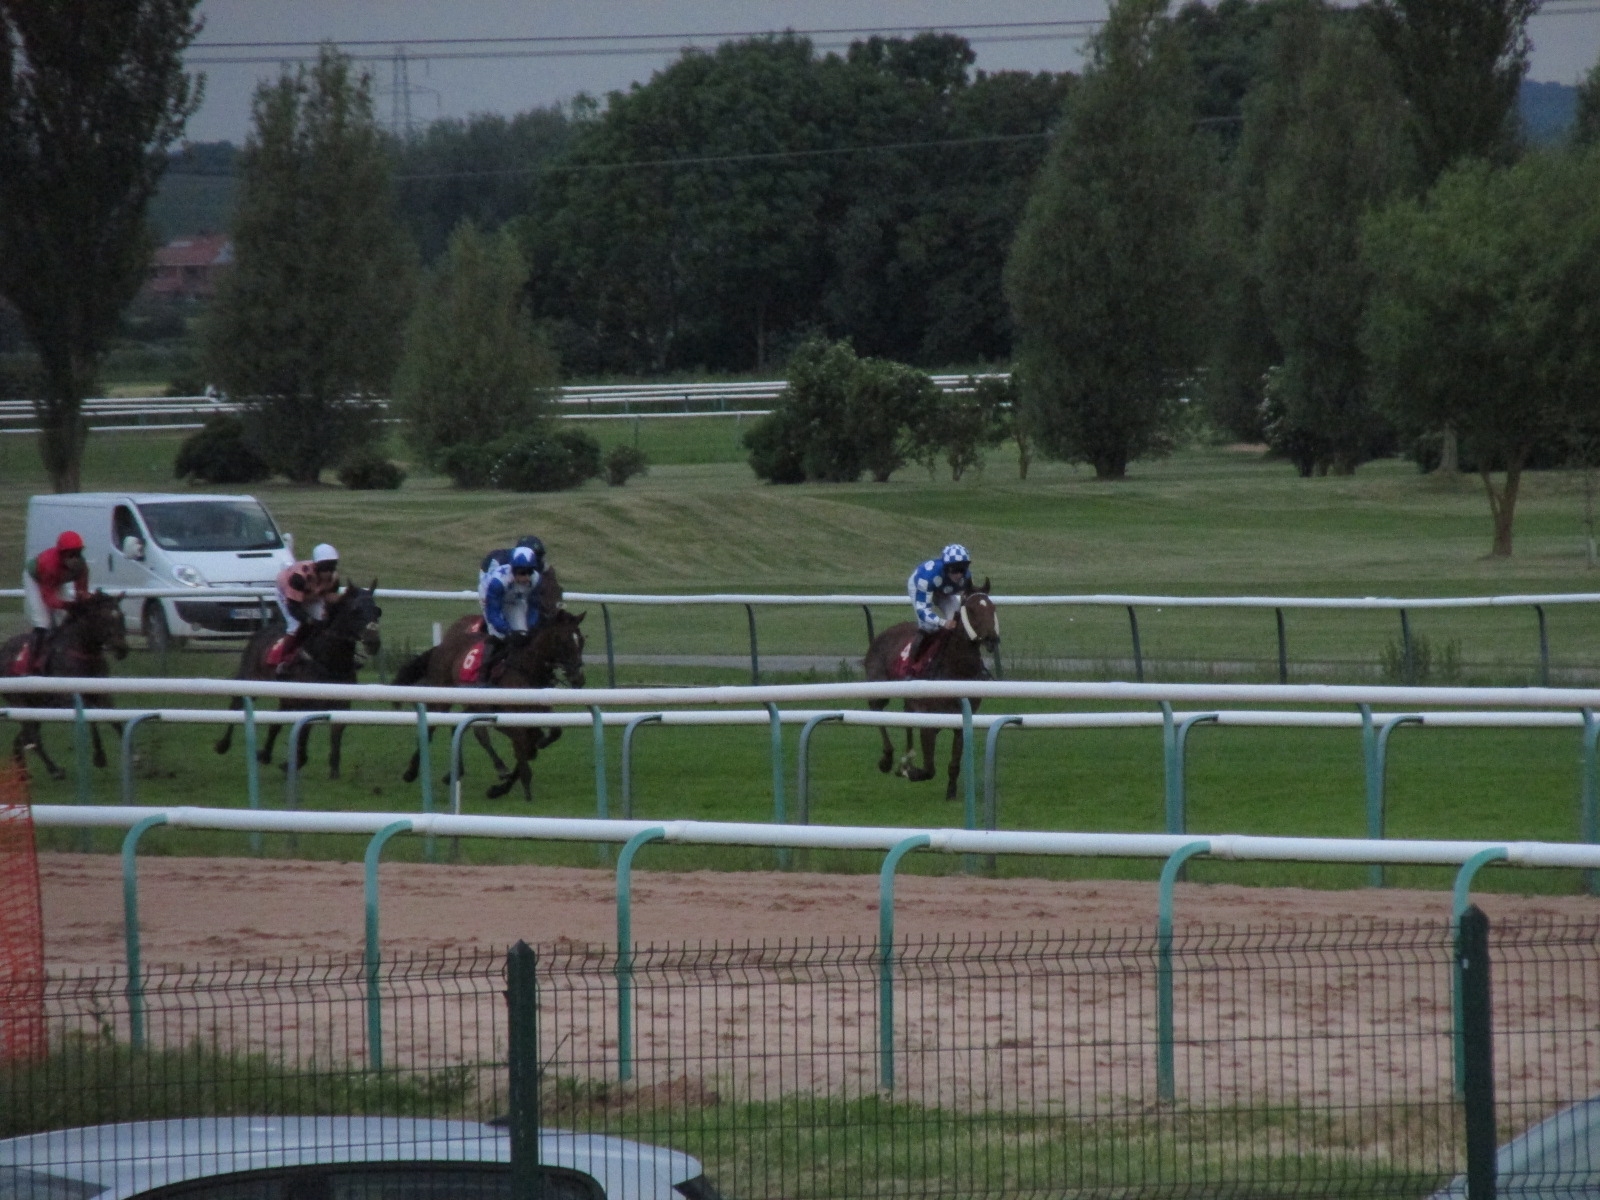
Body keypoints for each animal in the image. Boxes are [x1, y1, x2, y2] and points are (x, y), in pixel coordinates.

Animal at [1, 591, 129, 779]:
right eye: (102, 618)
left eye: (121, 615)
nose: (122, 649)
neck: (82, 650)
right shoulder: (67, 698)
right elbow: (91, 719)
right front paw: (99, 756)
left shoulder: (102, 694)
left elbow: (114, 720)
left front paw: (134, 757)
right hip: (20, 702)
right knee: (33, 738)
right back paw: (54, 769)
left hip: (37, 707)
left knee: (23, 739)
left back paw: (22, 773)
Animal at [212, 582, 383, 777]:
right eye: (355, 610)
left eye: (377, 611)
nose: (373, 642)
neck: (329, 659)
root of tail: (261, 631)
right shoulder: (305, 702)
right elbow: (303, 734)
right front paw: (292, 763)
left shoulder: (341, 704)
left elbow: (335, 734)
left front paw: (334, 771)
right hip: (251, 679)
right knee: (235, 706)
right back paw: (223, 744)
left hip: (285, 696)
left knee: (275, 724)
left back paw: (265, 754)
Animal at [394, 606, 586, 804]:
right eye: (562, 640)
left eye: (581, 640)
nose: (578, 678)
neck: (527, 669)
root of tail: (442, 645)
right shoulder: (510, 718)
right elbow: (523, 747)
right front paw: (522, 789)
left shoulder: (537, 711)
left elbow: (550, 734)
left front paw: (500, 788)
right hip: (443, 694)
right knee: (434, 728)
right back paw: (411, 771)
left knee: (458, 728)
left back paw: (455, 772)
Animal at [862, 583, 1001, 801]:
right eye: (971, 610)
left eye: (992, 608)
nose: (992, 639)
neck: (956, 671)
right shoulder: (928, 719)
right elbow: (929, 769)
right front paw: (911, 772)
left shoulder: (960, 721)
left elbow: (954, 764)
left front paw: (950, 793)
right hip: (880, 686)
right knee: (877, 711)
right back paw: (887, 759)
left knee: (904, 717)